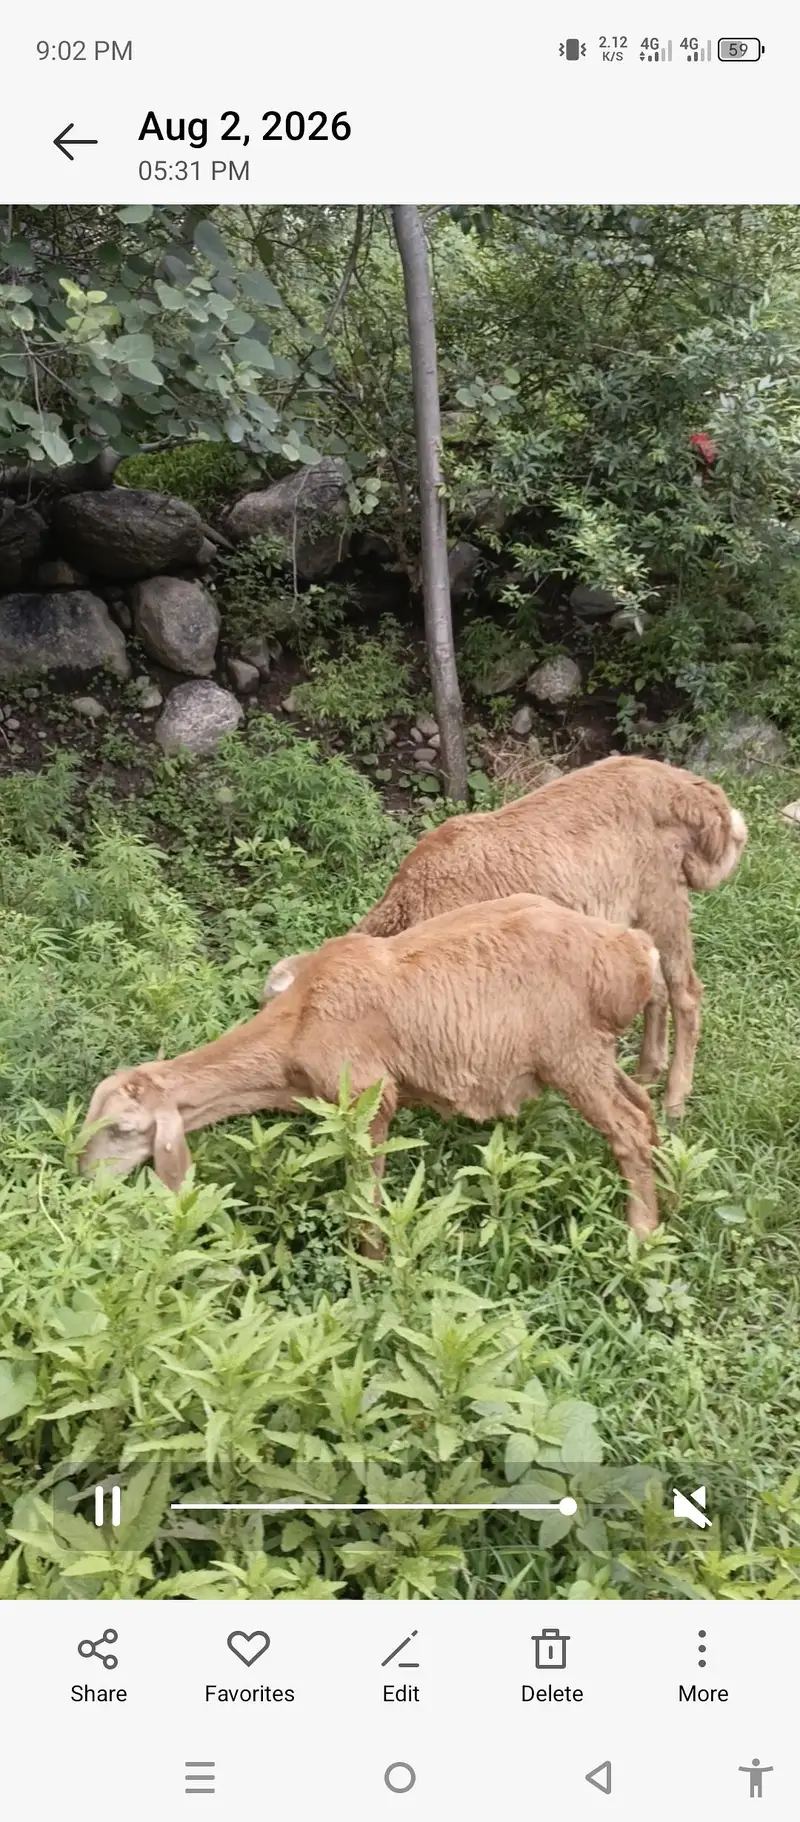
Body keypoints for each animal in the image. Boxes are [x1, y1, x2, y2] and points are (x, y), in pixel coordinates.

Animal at [80, 894, 667, 1248]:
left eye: (124, 1128)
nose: (85, 1177)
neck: (298, 1025)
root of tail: (636, 952)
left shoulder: (368, 1101)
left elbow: (366, 1203)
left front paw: (371, 1270)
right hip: (594, 1053)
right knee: (643, 1106)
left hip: (572, 1056)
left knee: (628, 1128)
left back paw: (641, 1237)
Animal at [289, 755, 745, 1121]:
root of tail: (696, 793)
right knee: (657, 987)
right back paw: (648, 1073)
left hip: (663, 900)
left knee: (686, 991)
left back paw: (674, 1102)